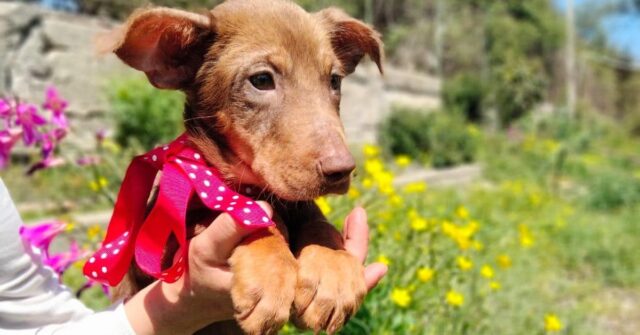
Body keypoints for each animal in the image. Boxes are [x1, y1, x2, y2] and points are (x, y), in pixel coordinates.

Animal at [102, 1, 382, 334]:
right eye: (261, 80)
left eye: (335, 81)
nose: (342, 170)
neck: (255, 187)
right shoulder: (166, 246)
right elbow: (241, 214)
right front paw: (270, 271)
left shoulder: (302, 205)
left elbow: (321, 224)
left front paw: (332, 272)